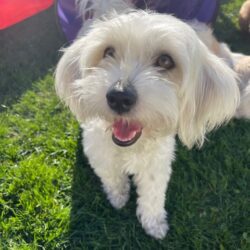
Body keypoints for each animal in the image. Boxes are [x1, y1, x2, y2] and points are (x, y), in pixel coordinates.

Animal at [55, 0, 249, 239]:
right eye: (108, 52)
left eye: (165, 60)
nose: (119, 97)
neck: (129, 147)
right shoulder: (99, 152)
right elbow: (111, 176)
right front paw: (118, 196)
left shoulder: (156, 165)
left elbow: (153, 195)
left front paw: (154, 223)